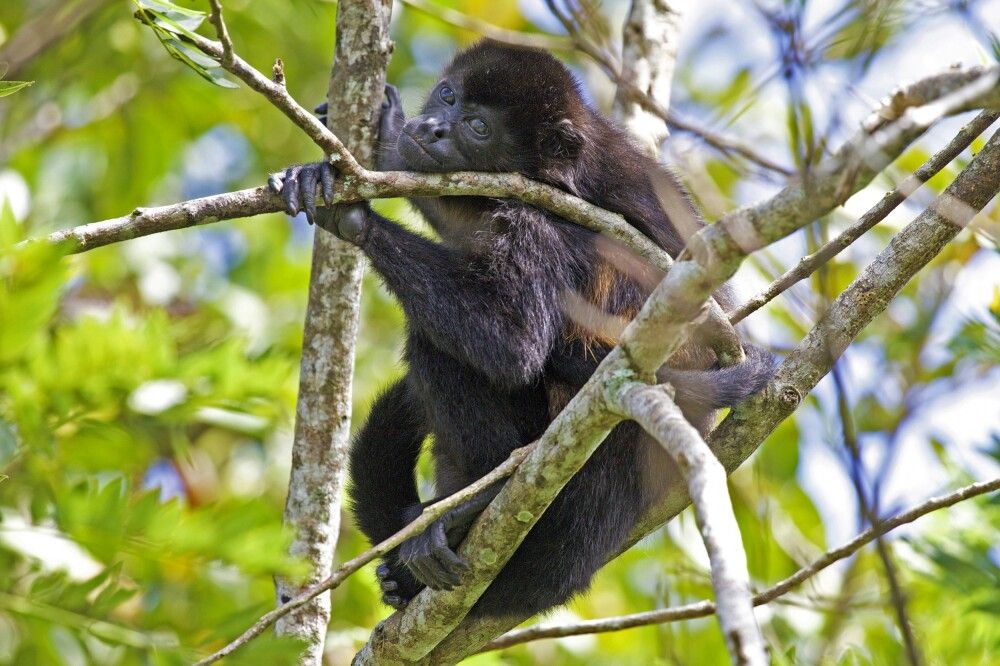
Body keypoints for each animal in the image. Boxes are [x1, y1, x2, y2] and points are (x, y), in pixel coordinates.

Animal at [272, 40, 772, 616]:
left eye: (478, 126)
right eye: (448, 96)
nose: (432, 127)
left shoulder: (544, 223)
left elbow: (512, 343)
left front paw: (357, 220)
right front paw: (385, 132)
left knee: (442, 345)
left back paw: (471, 505)